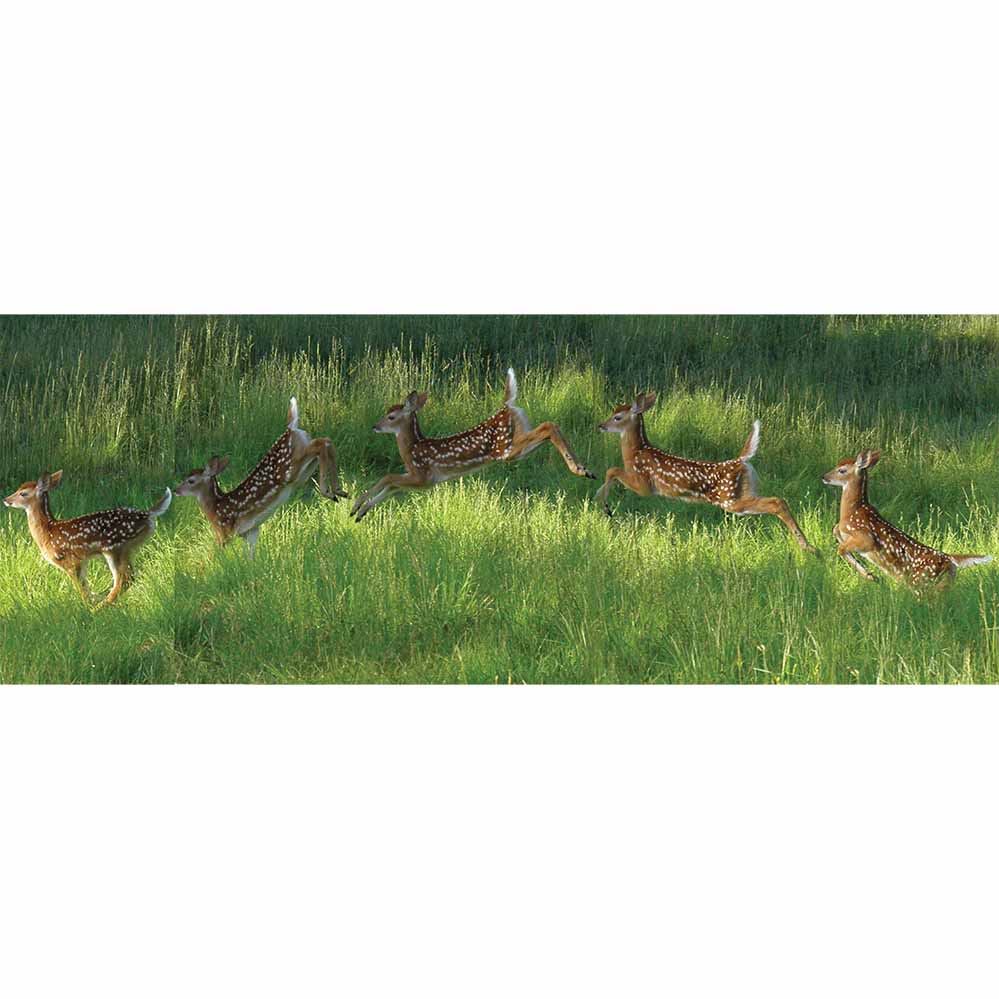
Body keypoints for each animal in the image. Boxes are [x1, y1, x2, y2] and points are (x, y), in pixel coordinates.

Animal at [3, 470, 172, 604]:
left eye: (23, 493)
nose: (6, 499)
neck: (47, 532)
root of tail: (148, 514)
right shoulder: (82, 561)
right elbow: (85, 586)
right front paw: (92, 600)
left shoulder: (70, 560)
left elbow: (81, 589)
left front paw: (86, 607)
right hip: (125, 550)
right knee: (128, 578)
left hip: (115, 547)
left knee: (123, 579)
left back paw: (100, 608)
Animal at [175, 397, 346, 557]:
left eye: (190, 481)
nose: (176, 490)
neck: (215, 508)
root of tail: (290, 429)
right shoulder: (250, 531)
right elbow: (250, 557)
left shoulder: (224, 531)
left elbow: (216, 554)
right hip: (303, 468)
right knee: (326, 442)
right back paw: (339, 491)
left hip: (291, 468)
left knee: (322, 443)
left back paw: (328, 491)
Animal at [351, 368, 594, 521]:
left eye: (391, 416)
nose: (375, 426)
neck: (411, 449)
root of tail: (506, 407)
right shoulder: (418, 479)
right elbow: (392, 486)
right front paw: (362, 512)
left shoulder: (423, 476)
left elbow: (388, 478)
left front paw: (355, 505)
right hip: (518, 443)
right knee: (549, 427)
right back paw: (585, 469)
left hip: (505, 449)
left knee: (548, 426)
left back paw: (579, 468)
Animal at [595, 392, 816, 553]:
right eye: (614, 410)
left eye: (617, 417)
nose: (601, 425)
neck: (636, 452)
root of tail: (741, 460)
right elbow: (612, 471)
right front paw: (601, 501)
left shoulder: (644, 484)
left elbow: (612, 470)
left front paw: (603, 504)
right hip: (745, 491)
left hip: (730, 499)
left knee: (777, 502)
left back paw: (809, 548)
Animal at [821, 450, 991, 590]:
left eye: (842, 470)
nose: (824, 477)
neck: (852, 511)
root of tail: (950, 559)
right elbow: (835, 530)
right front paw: (871, 576)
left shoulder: (865, 537)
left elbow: (841, 548)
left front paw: (871, 576)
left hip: (921, 582)